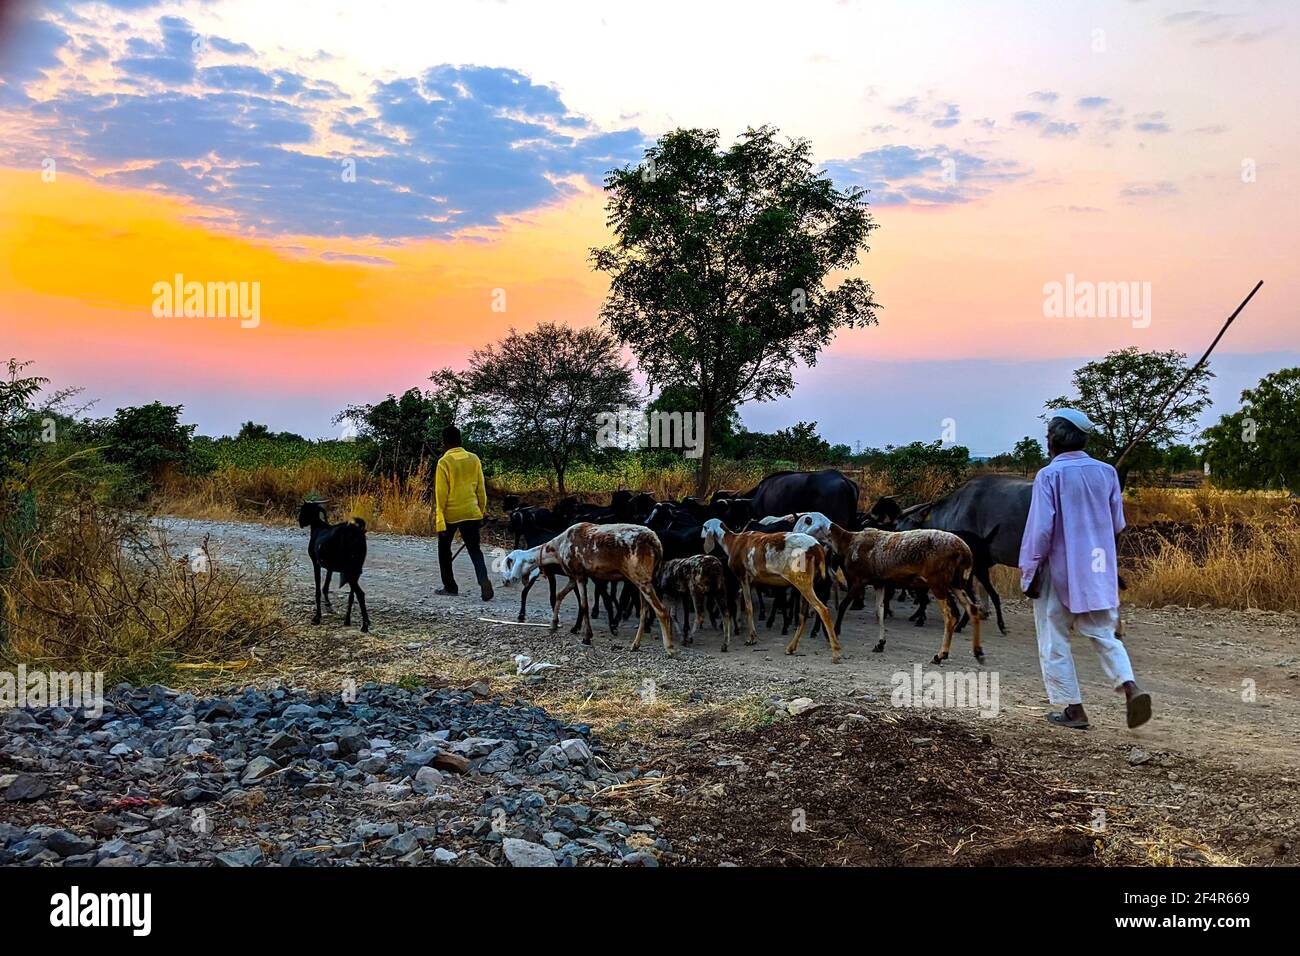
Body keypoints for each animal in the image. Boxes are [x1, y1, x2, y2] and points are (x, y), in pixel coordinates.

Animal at [297, 504, 369, 632]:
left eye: (304, 509)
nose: (300, 521)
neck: (318, 526)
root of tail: (356, 532)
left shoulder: (316, 563)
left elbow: (318, 589)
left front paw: (317, 617)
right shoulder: (330, 566)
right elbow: (326, 585)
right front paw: (328, 605)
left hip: (349, 570)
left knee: (360, 594)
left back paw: (365, 625)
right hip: (355, 570)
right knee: (352, 594)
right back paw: (348, 621)